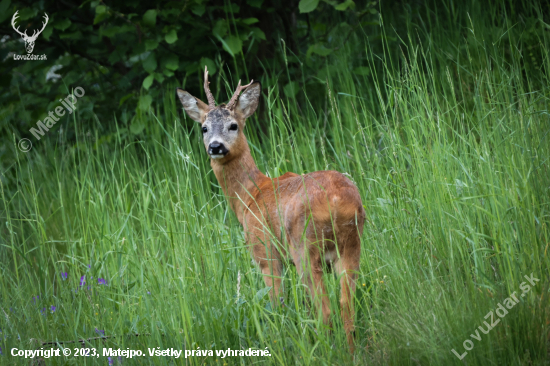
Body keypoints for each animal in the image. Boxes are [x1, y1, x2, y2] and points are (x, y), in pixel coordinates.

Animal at [178, 68, 366, 352]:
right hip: (351, 245)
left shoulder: (265, 253)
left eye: (233, 125)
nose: (216, 146)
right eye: (204, 127)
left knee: (325, 309)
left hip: (304, 247)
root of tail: (337, 201)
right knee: (347, 305)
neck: (250, 195)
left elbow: (277, 305)